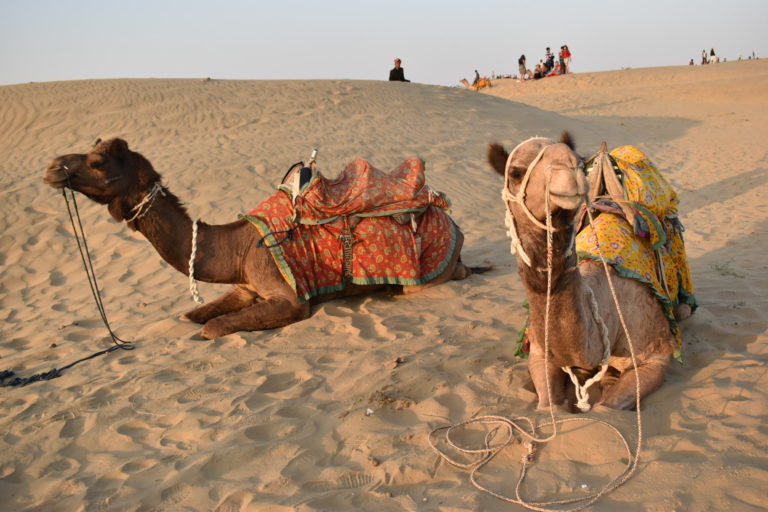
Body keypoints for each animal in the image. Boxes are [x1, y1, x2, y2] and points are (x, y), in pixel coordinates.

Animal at [43, 138, 474, 342]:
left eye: (98, 161)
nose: (51, 167)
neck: (236, 245)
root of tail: (454, 225)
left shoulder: (288, 298)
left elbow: (212, 328)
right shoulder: (245, 287)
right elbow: (191, 316)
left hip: (428, 274)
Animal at [486, 133, 696, 412]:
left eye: (579, 160)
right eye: (516, 173)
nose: (570, 170)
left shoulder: (655, 357)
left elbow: (607, 408)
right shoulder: (540, 353)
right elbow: (548, 405)